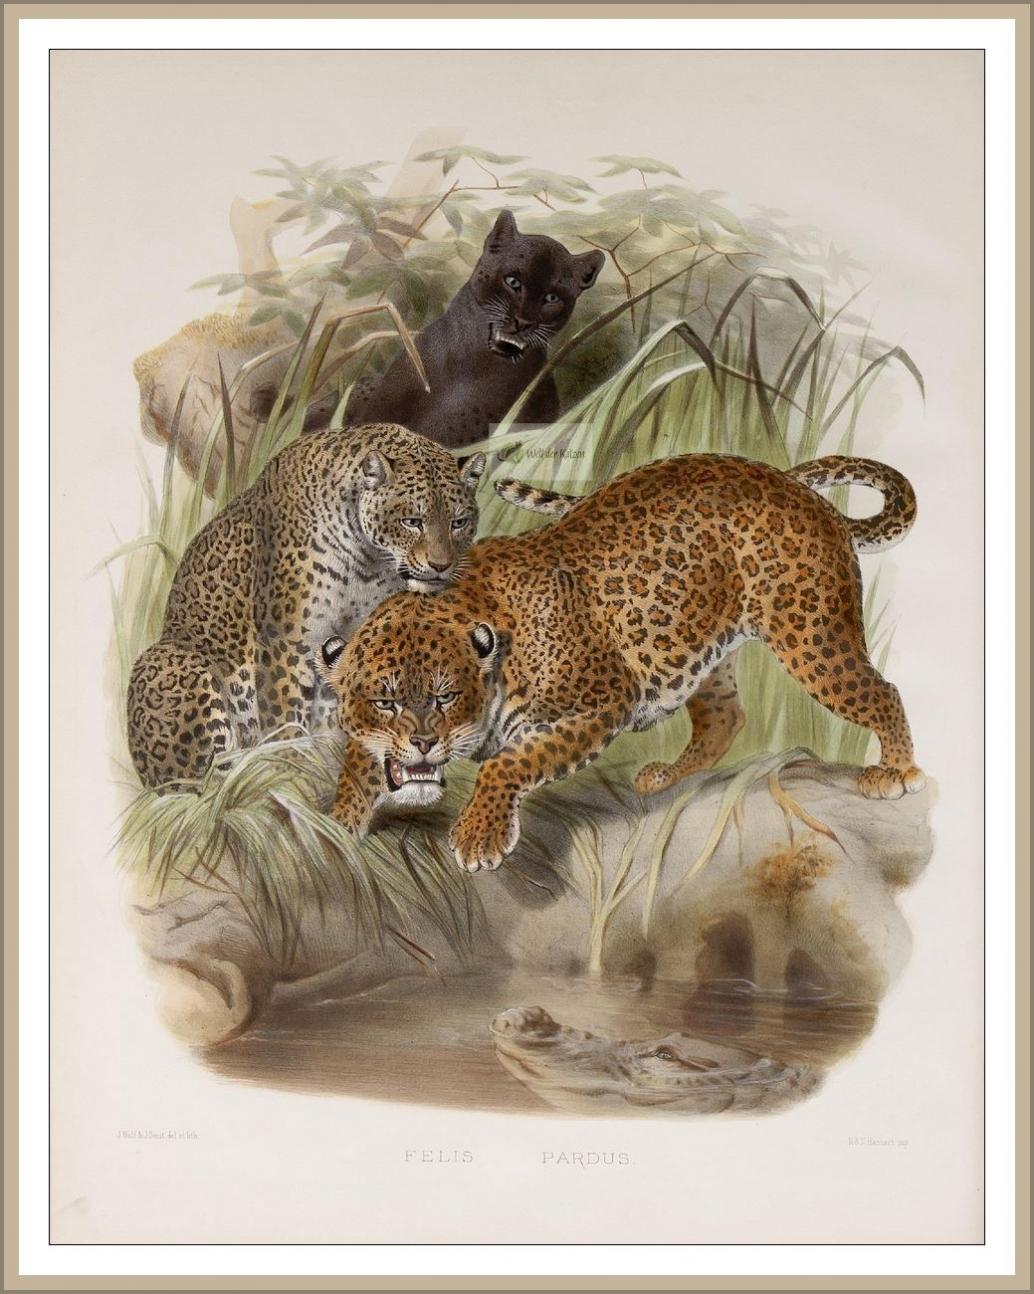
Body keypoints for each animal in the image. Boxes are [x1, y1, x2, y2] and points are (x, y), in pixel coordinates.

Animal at [126, 424, 484, 789]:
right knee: (198, 782)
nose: (441, 566)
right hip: (175, 664)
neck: (368, 559)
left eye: (458, 523)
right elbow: (284, 717)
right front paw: (288, 770)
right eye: (412, 521)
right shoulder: (286, 641)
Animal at [317, 452, 924, 873]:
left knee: (882, 692)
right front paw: (336, 826)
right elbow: (358, 767)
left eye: (445, 698)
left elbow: (510, 762)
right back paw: (667, 775)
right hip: (700, 647)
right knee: (726, 718)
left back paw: (895, 772)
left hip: (810, 633)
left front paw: (478, 837)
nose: (422, 743)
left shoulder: (605, 701)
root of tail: (797, 487)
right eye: (385, 701)